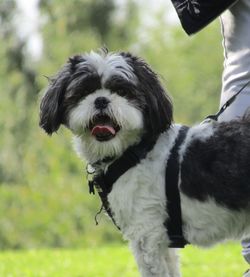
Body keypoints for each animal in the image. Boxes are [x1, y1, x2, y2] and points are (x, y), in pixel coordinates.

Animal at [39, 49, 250, 276]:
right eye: (84, 91)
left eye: (122, 91)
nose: (101, 100)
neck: (135, 152)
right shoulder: (162, 241)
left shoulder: (147, 233)